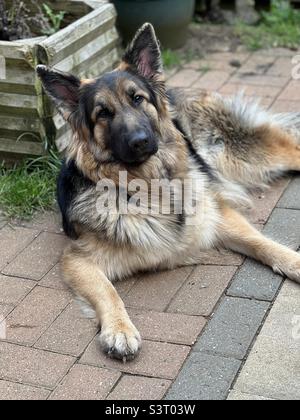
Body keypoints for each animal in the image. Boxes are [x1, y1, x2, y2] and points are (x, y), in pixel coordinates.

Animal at [37, 23, 300, 360]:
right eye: (103, 113)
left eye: (137, 99)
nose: (139, 142)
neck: (146, 185)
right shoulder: (77, 259)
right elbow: (108, 291)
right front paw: (120, 330)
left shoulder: (215, 213)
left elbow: (262, 243)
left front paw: (293, 262)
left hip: (238, 153)